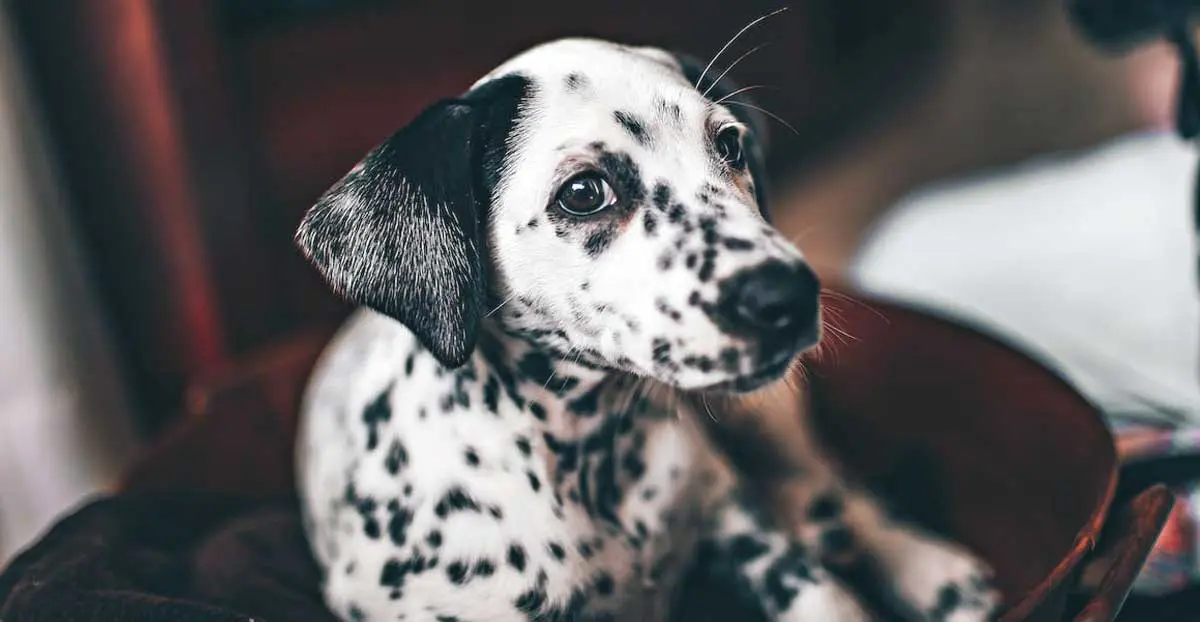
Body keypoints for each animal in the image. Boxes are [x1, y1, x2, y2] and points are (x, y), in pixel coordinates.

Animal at [292, 39, 1003, 622]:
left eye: (730, 145)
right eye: (584, 192)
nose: (791, 295)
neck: (591, 458)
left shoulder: (740, 523)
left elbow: (822, 593)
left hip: (764, 413)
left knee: (829, 482)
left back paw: (926, 567)